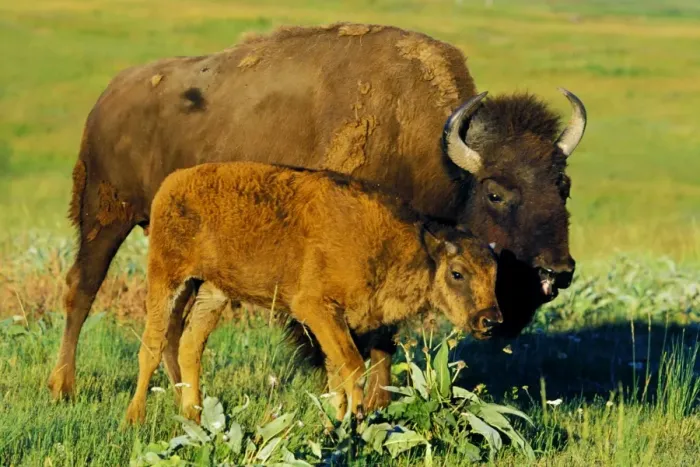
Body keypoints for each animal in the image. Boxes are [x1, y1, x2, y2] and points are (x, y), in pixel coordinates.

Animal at [123, 161, 501, 424]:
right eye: (457, 273)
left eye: (495, 275)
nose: (490, 320)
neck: (399, 244)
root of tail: (173, 183)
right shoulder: (315, 308)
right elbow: (351, 367)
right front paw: (354, 421)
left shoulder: (342, 322)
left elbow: (337, 374)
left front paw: (336, 424)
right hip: (167, 279)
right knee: (152, 346)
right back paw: (135, 419)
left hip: (213, 291)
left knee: (189, 345)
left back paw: (195, 416)